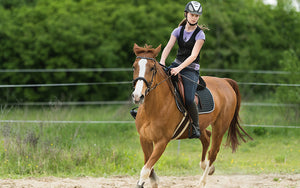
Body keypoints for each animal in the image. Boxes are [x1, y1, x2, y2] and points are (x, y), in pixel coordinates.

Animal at [131, 43, 251, 187]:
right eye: (134, 66)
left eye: (152, 68)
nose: (137, 96)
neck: (154, 108)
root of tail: (225, 81)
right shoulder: (144, 139)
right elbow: (149, 168)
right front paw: (153, 180)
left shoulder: (162, 142)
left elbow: (145, 170)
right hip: (201, 126)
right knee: (206, 138)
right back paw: (206, 166)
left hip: (220, 127)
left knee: (213, 152)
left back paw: (202, 181)